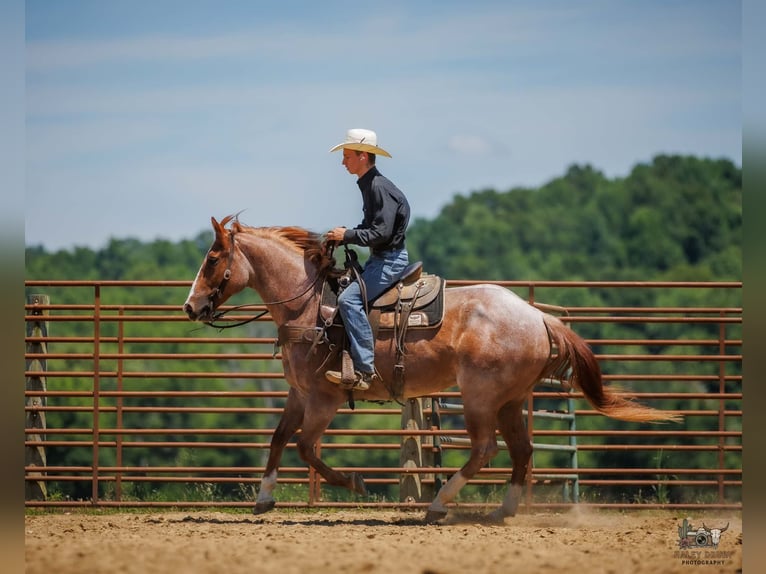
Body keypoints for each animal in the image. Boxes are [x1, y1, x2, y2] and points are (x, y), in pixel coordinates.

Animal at [183, 215, 680, 523]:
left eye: (212, 259)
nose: (190, 307)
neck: (310, 308)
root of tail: (539, 317)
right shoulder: (298, 394)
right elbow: (278, 439)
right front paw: (264, 497)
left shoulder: (324, 398)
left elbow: (305, 447)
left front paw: (356, 484)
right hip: (509, 400)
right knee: (520, 451)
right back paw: (501, 511)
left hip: (480, 397)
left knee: (486, 450)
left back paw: (438, 505)